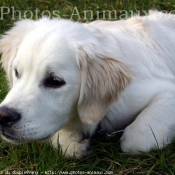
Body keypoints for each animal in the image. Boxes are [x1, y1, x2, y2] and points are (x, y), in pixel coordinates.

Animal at [0, 10, 175, 159]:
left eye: (55, 81)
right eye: (16, 72)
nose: (3, 116)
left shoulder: (165, 91)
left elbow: (135, 139)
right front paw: (72, 141)